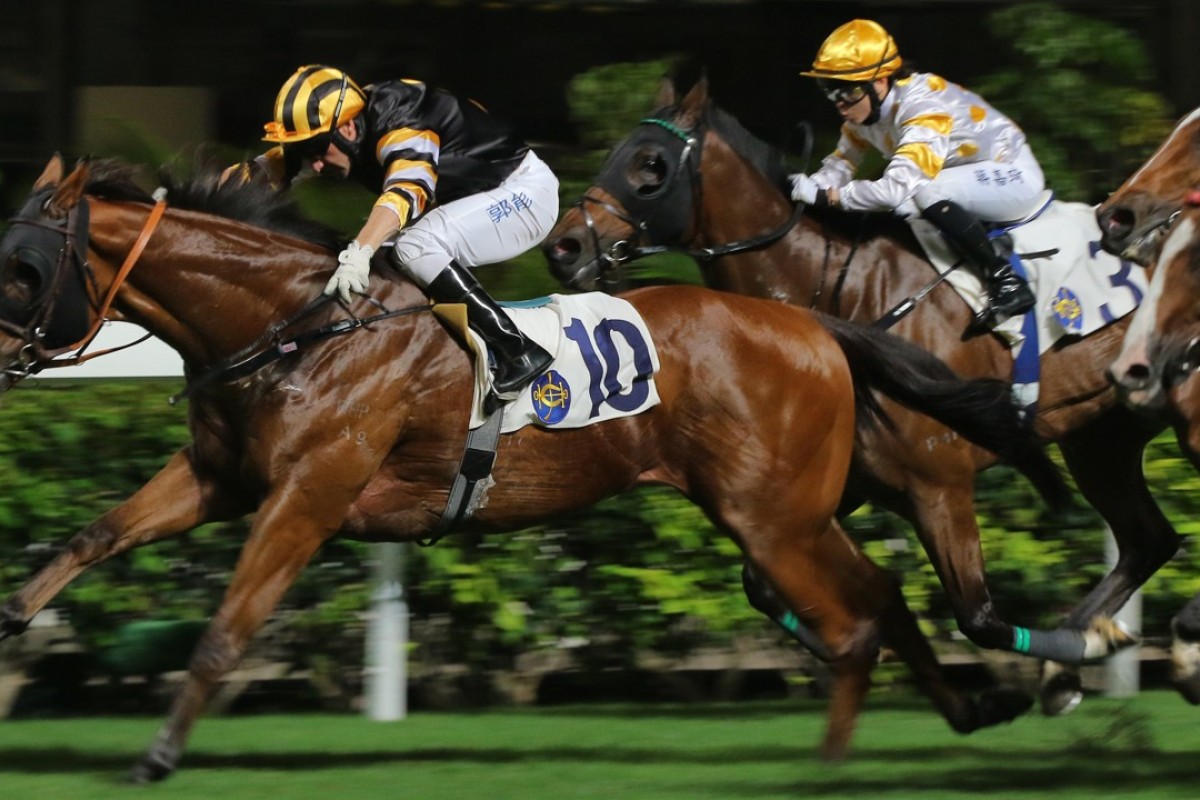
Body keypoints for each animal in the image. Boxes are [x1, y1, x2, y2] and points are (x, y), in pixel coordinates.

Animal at [0, 153, 1060, 777]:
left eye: (22, 270)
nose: (1, 355)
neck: (292, 327)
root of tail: (811, 323)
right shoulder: (221, 478)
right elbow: (92, 536)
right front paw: (13, 619)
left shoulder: (309, 494)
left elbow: (225, 630)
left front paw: (157, 755)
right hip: (783, 513)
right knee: (880, 597)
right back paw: (973, 706)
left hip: (773, 516)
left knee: (852, 628)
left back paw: (834, 768)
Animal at [542, 74, 1161, 714]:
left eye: (650, 164)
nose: (563, 248)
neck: (844, 291)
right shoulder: (840, 483)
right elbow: (761, 584)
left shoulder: (938, 486)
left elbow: (978, 617)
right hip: (1102, 440)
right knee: (1149, 542)